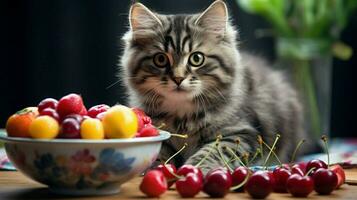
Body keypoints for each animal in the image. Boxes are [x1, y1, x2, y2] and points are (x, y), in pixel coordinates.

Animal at [120, 0, 308, 173]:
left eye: (196, 58)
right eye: (160, 59)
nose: (178, 78)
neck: (182, 118)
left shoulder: (242, 133)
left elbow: (214, 151)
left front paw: (195, 168)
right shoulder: (159, 132)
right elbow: (160, 153)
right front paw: (153, 167)